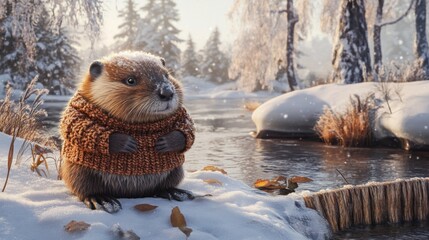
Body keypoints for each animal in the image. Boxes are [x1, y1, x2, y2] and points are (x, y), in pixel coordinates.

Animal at [59, 50, 196, 212]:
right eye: (130, 80)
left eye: (166, 75)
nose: (167, 92)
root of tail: (133, 195)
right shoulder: (78, 105)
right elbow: (74, 125)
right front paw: (129, 143)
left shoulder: (181, 114)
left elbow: (187, 129)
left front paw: (163, 142)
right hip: (77, 170)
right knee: (84, 188)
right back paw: (103, 201)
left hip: (175, 171)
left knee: (162, 186)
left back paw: (176, 192)